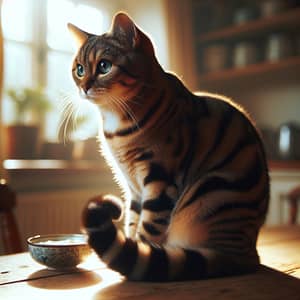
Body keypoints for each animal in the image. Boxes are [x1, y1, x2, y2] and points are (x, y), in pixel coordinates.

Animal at [68, 12, 270, 282]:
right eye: (79, 70)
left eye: (104, 66)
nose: (84, 87)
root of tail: (247, 251)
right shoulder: (133, 188)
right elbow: (132, 221)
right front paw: (131, 246)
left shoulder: (160, 180)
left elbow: (147, 229)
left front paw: (138, 255)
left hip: (209, 190)